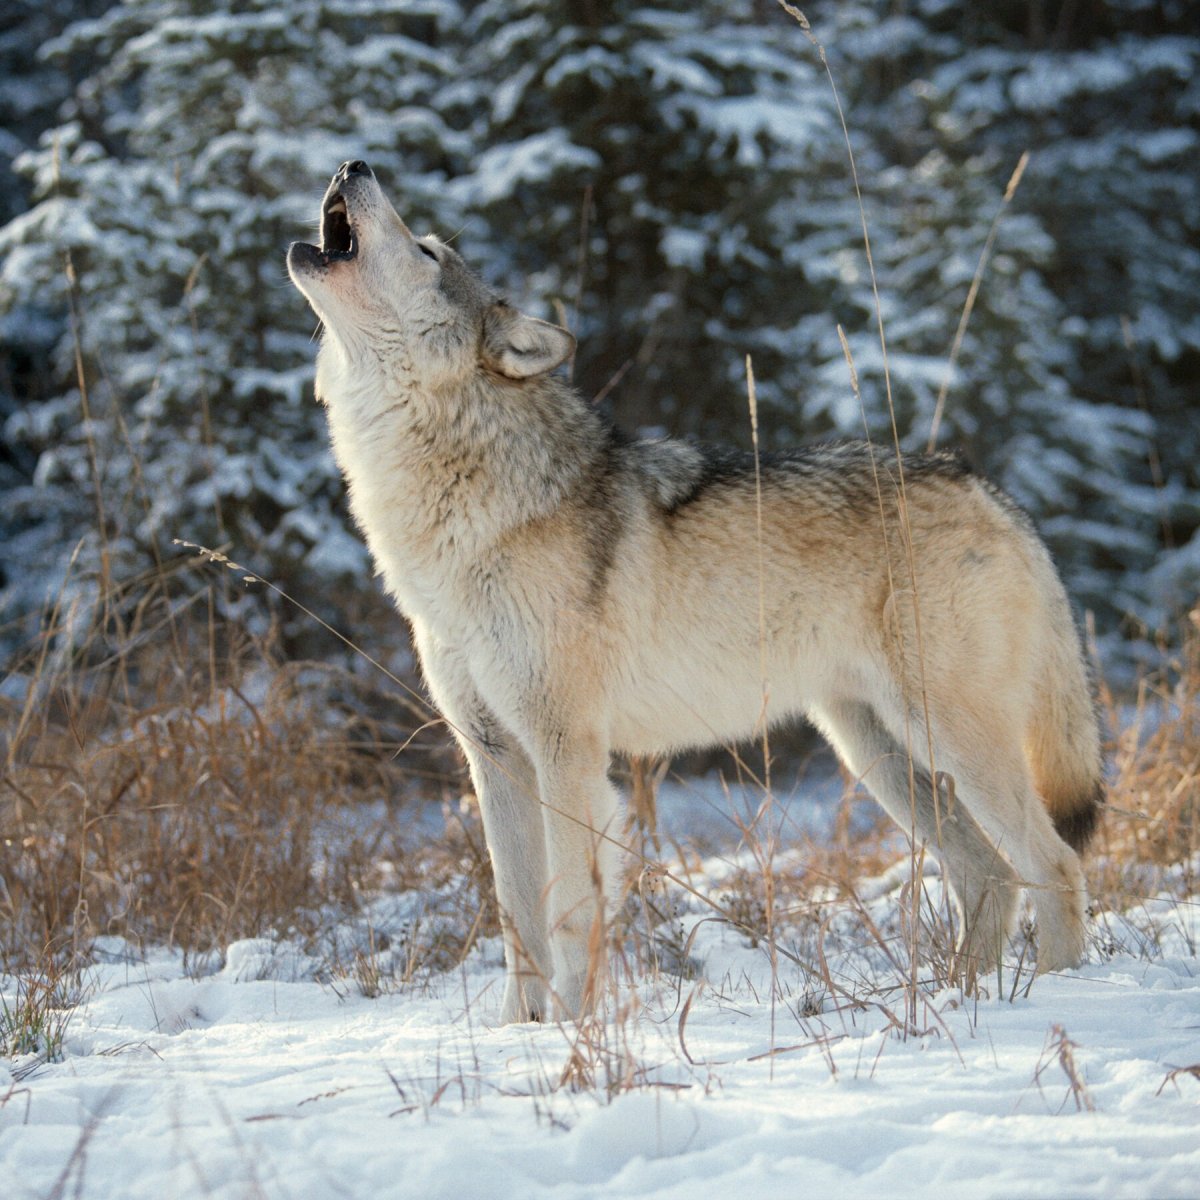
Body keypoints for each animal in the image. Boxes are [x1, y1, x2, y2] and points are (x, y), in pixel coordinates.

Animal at [287, 160, 1101, 1024]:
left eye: (428, 251)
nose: (353, 166)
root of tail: (994, 492)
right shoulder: (494, 755)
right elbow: (515, 922)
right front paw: (519, 1033)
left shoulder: (565, 751)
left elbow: (567, 910)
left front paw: (572, 1033)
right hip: (878, 753)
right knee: (989, 873)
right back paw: (957, 1000)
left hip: (947, 740)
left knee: (1055, 864)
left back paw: (1057, 998)